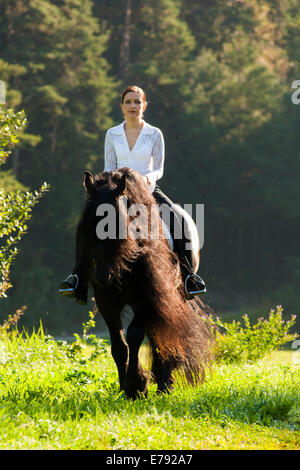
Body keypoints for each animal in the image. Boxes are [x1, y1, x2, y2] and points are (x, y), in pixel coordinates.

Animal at [78, 167, 213, 398]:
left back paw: (164, 384)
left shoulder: (147, 298)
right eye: (87, 225)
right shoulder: (106, 302)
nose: (103, 277)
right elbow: (119, 346)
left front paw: (137, 385)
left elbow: (134, 337)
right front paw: (125, 387)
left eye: (118, 223)